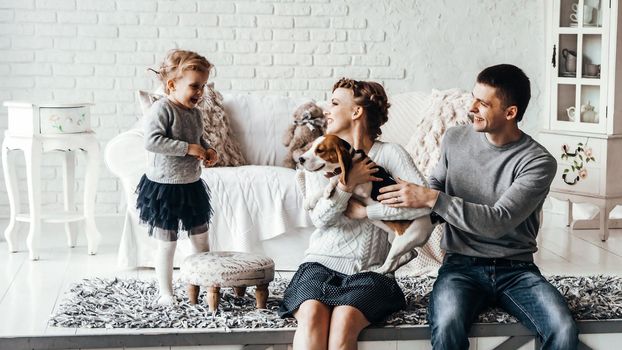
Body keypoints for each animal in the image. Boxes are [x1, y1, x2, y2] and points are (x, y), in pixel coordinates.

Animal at [298, 135, 436, 274]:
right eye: (311, 147)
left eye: (320, 150)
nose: (300, 159)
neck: (352, 158)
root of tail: (433, 219)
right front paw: (310, 200)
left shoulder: (363, 188)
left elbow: (338, 179)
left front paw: (330, 187)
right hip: (395, 238)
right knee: (410, 255)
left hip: (404, 241)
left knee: (389, 264)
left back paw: (376, 271)